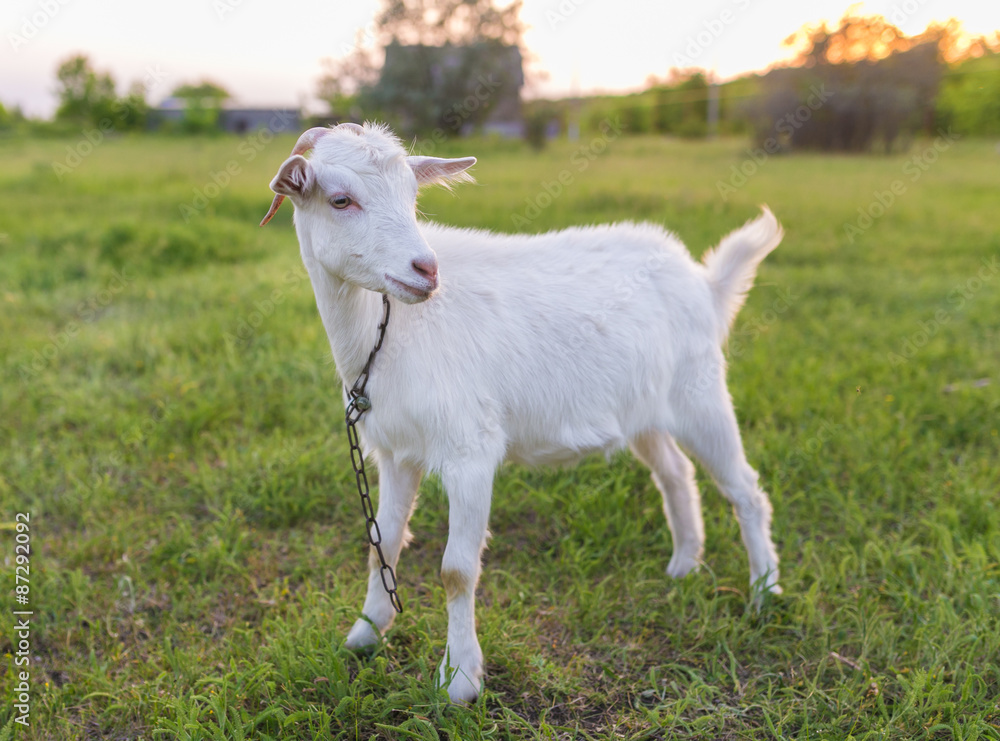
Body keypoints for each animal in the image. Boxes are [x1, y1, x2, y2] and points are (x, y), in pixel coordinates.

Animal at [258, 121, 780, 700]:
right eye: (340, 199)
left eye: (413, 197)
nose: (426, 270)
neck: (385, 332)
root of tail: (704, 283)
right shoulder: (396, 453)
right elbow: (384, 545)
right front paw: (366, 635)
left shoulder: (470, 450)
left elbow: (457, 570)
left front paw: (460, 680)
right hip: (645, 411)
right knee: (675, 473)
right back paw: (685, 564)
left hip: (700, 392)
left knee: (745, 489)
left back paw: (763, 593)